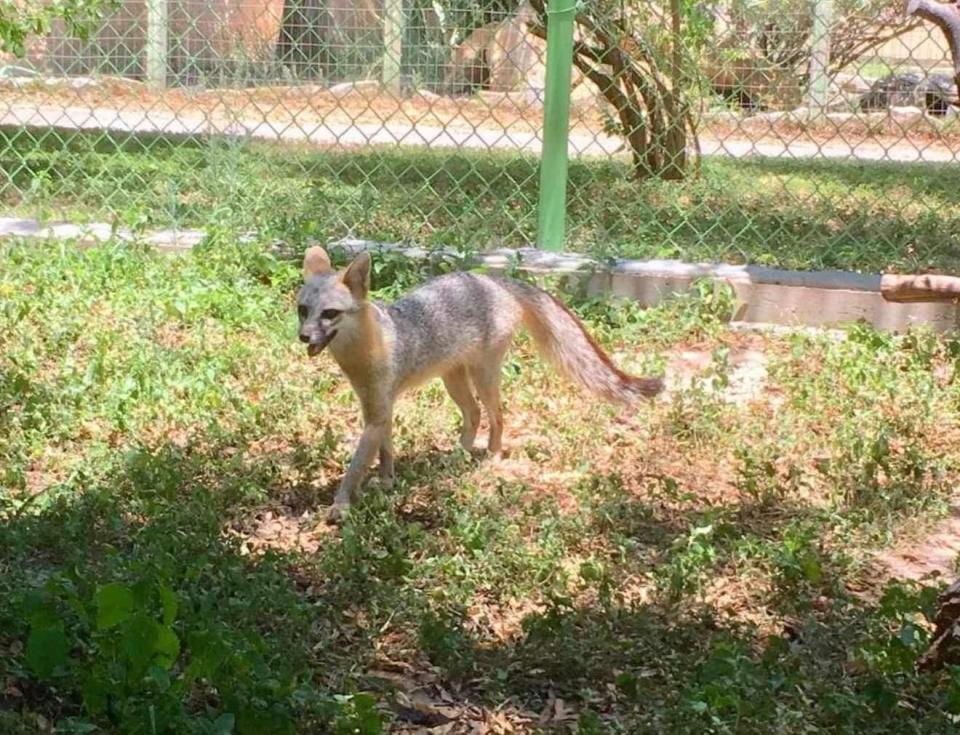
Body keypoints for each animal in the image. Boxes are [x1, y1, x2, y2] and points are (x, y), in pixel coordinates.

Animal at [296, 247, 664, 524]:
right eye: (303, 310)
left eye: (329, 314)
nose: (303, 336)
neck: (368, 350)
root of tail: (493, 280)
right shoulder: (378, 409)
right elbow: (385, 453)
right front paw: (386, 483)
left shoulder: (377, 414)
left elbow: (356, 465)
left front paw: (341, 505)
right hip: (454, 380)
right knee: (473, 415)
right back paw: (459, 455)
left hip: (483, 378)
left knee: (497, 416)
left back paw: (491, 456)